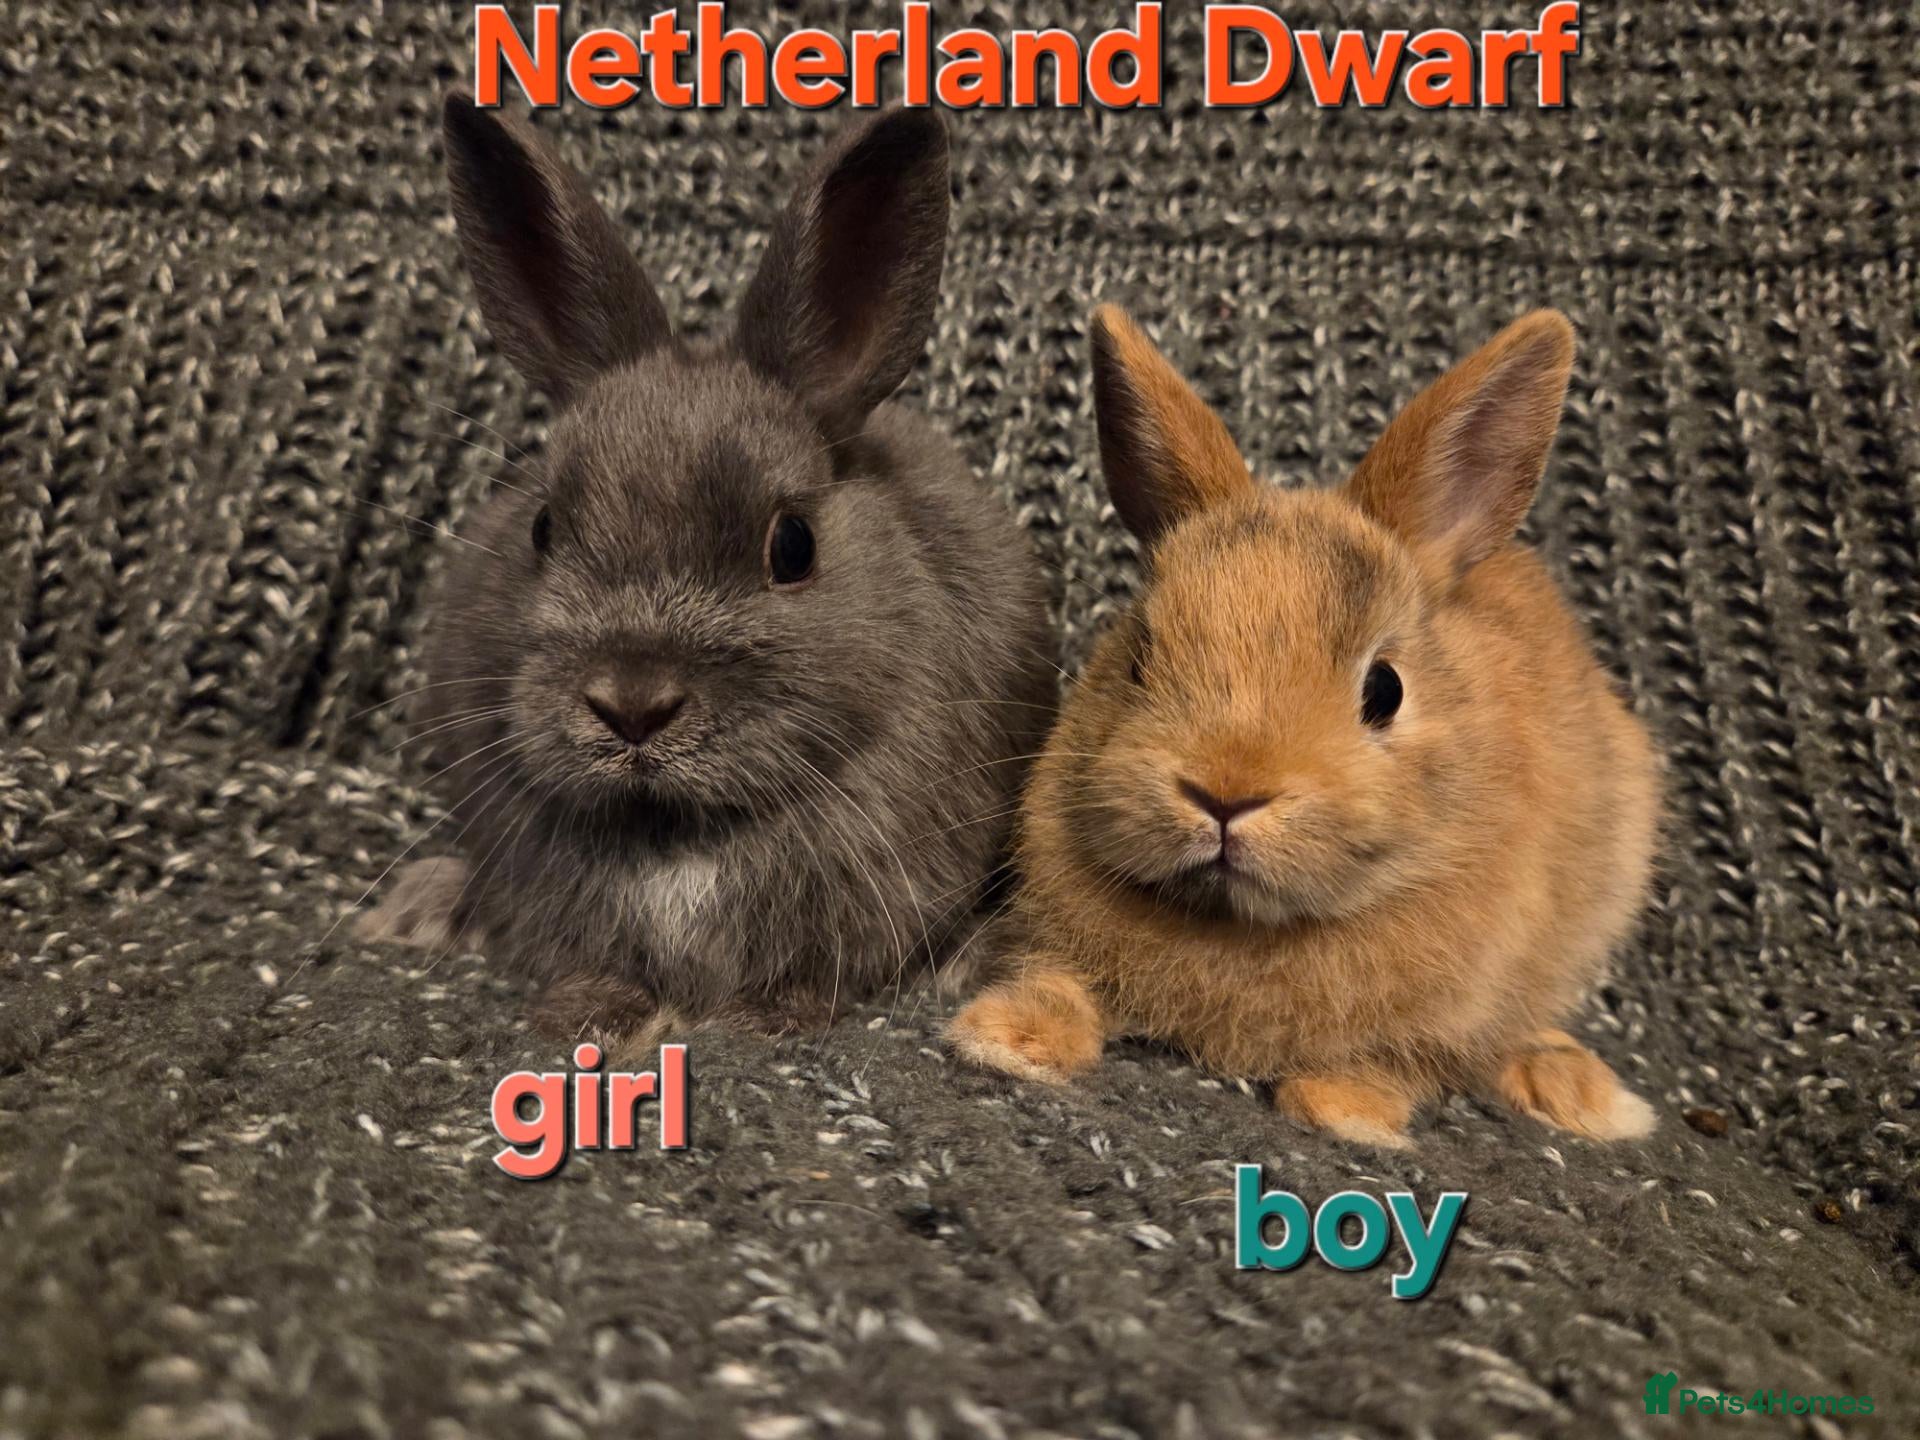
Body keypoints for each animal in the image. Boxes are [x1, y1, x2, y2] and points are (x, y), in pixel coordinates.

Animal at [355, 95, 1054, 1046]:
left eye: (792, 546)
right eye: (543, 526)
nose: (633, 706)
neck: (677, 833)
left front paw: (768, 1017)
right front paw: (587, 1014)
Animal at [946, 306, 1662, 1148]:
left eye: (1385, 689)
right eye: (1140, 655)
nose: (1226, 793)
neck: (1239, 923)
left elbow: (1406, 1058)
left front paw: (1347, 1109)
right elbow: (1058, 982)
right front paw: (1008, 1039)